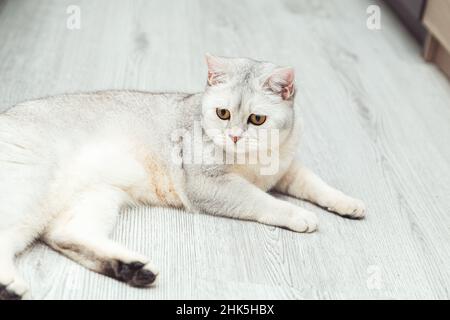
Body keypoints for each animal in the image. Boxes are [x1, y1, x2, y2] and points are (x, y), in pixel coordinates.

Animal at [0, 53, 366, 298]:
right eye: (223, 113)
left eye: (257, 119)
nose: (234, 136)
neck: (257, 159)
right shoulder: (210, 184)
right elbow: (261, 200)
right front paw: (297, 214)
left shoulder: (288, 170)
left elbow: (317, 184)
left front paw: (347, 203)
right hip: (30, 188)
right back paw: (10, 285)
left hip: (94, 196)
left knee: (67, 234)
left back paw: (132, 269)